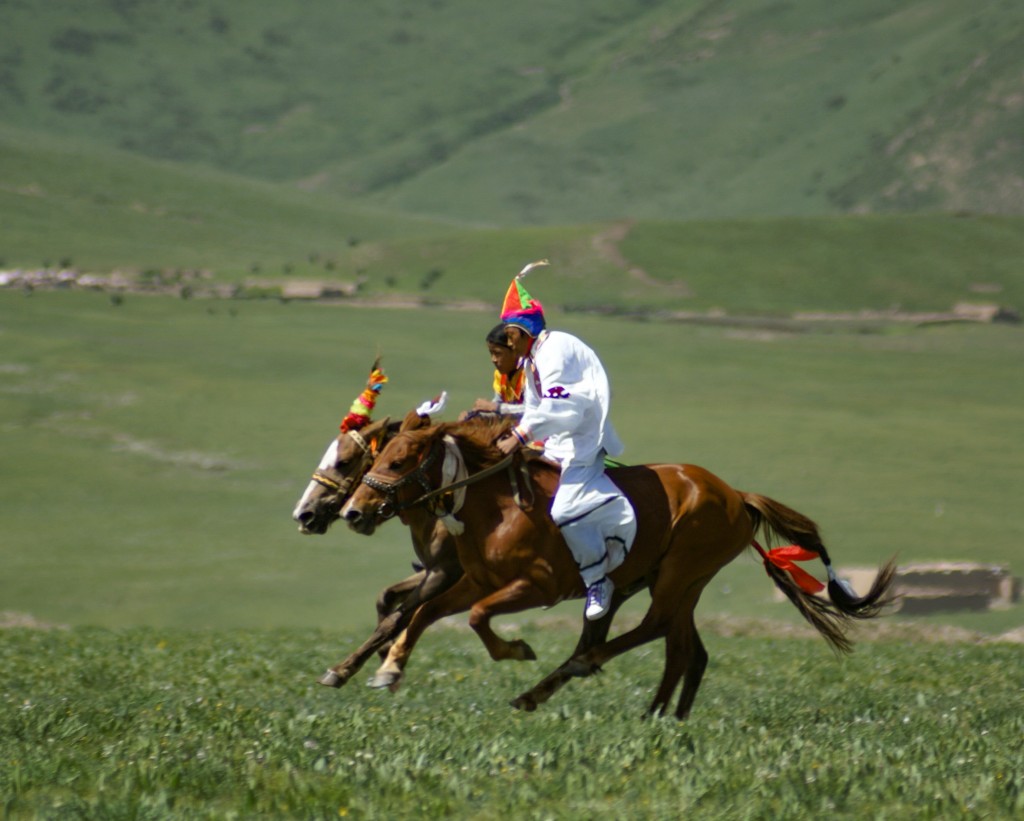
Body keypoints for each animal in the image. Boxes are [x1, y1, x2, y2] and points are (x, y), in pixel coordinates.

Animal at [339, 415, 892, 716]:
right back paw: (657, 715)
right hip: (684, 580)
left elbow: (474, 619)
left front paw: (517, 649)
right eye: (376, 457)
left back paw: (581, 670)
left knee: (657, 627)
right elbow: (422, 615)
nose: (353, 512)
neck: (494, 506)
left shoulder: (536, 585)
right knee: (683, 648)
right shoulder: (473, 580)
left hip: (679, 572)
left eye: (400, 459)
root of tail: (736, 495)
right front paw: (388, 669)